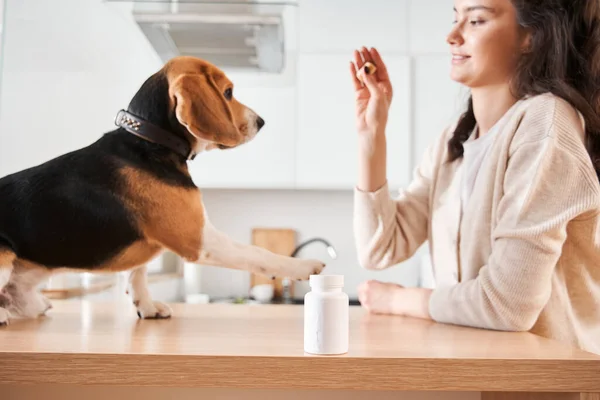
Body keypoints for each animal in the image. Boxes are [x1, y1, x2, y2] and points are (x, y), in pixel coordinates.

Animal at [0, 56, 324, 324]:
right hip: (4, 256)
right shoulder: (199, 239)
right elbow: (257, 253)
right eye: (229, 92)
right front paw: (303, 266)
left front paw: (147, 307)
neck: (150, 141)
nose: (261, 122)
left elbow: (138, 274)